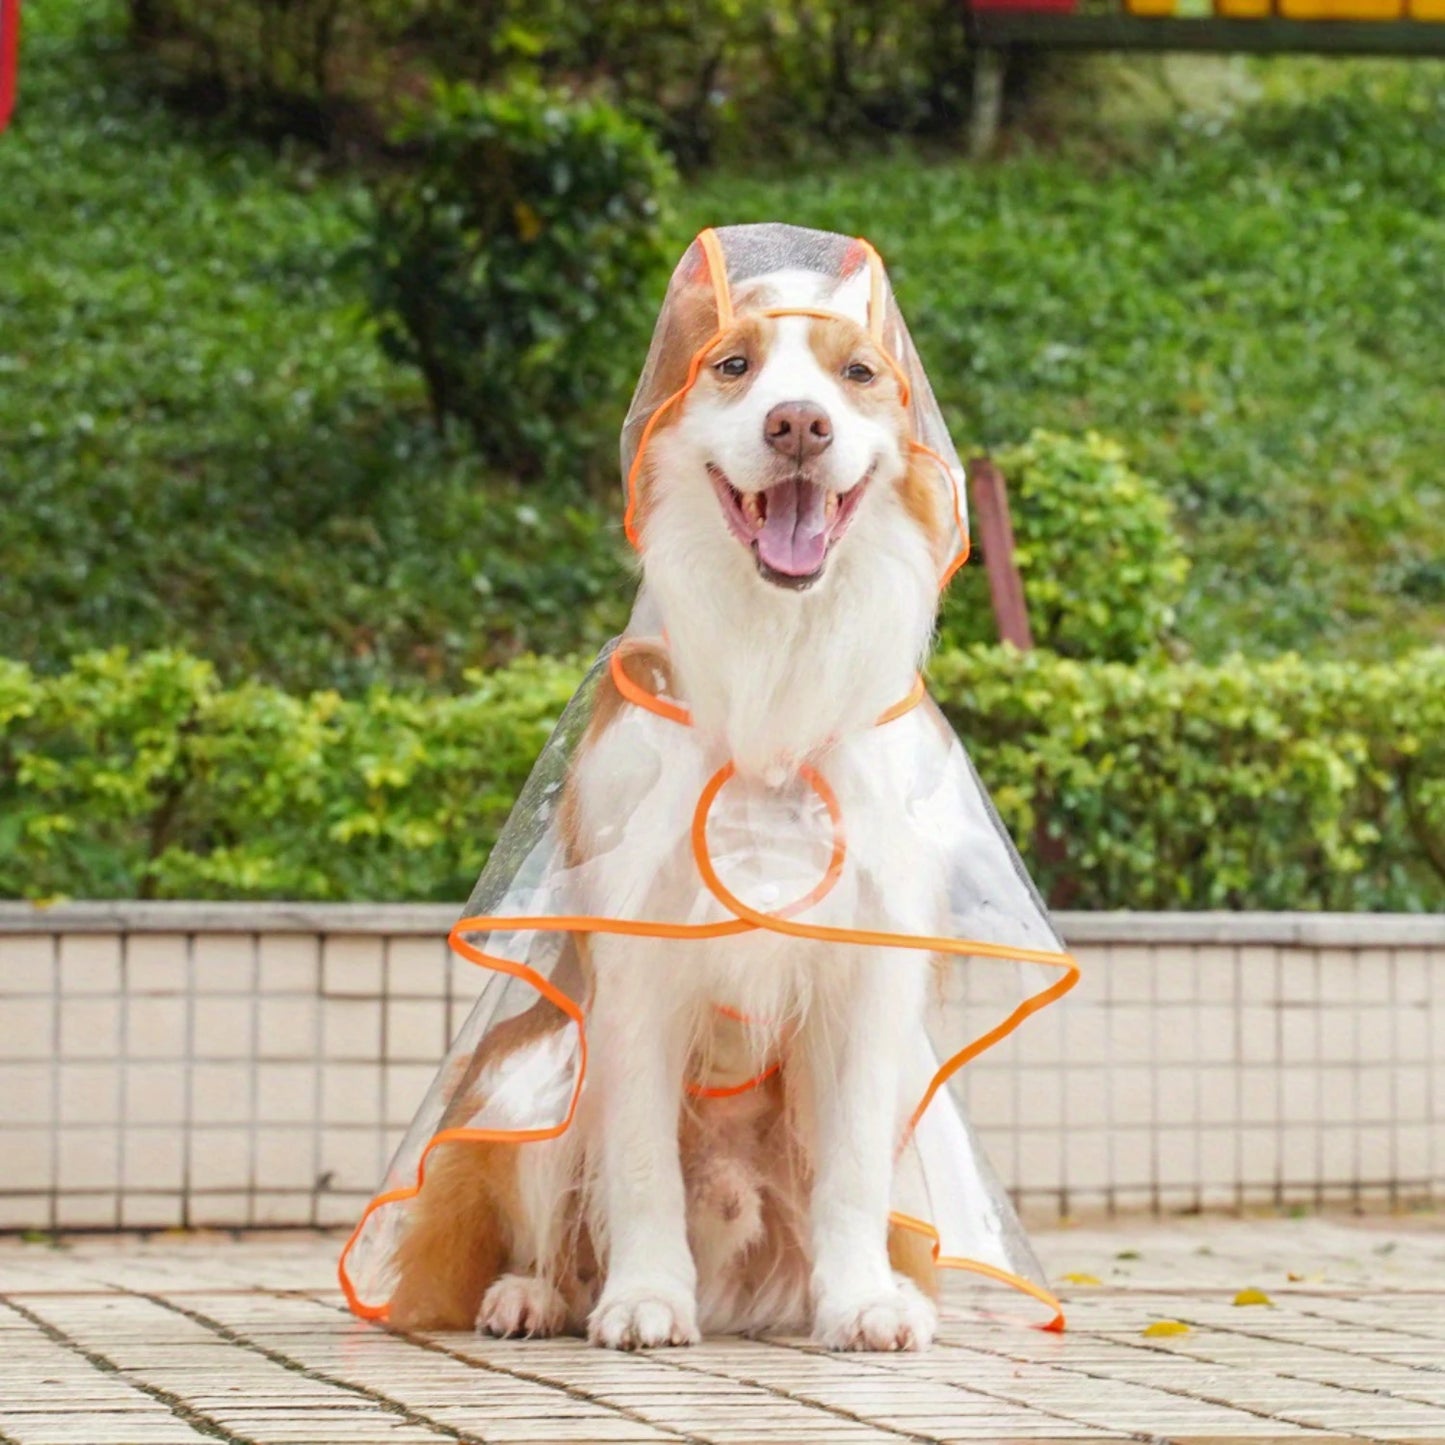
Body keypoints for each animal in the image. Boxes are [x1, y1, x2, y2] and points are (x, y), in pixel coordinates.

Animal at [381, 251, 959, 1352]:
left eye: (856, 373)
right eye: (732, 365)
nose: (797, 424)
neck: (771, 683)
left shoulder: (866, 970)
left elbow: (852, 1170)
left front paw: (862, 1298)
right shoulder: (637, 961)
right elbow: (640, 1161)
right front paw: (646, 1295)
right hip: (538, 1066)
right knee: (557, 1229)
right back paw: (535, 1296)